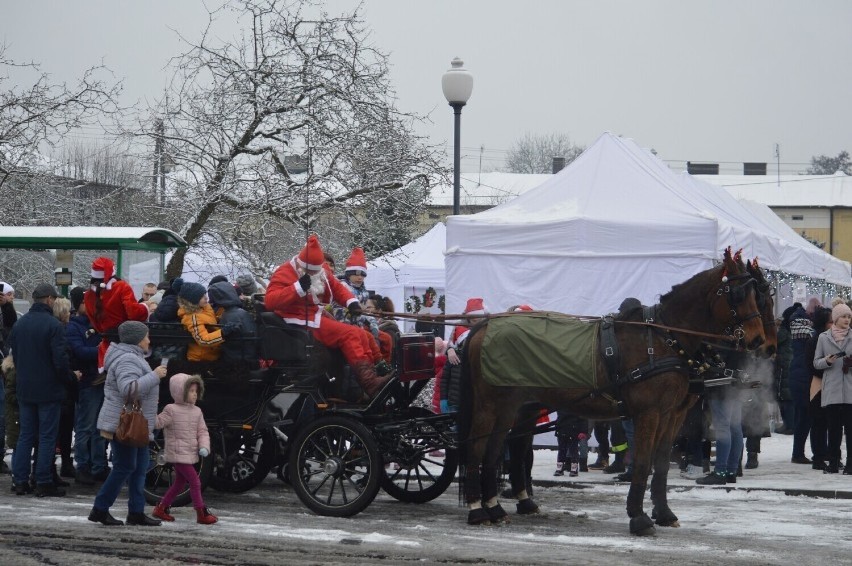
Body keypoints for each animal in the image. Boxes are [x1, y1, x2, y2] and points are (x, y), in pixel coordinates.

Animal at [460, 248, 764, 536]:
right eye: (738, 293)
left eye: (757, 293)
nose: (758, 339)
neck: (665, 339)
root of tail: (485, 325)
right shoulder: (649, 413)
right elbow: (642, 462)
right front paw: (639, 517)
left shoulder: (672, 414)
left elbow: (662, 462)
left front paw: (664, 513)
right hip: (491, 406)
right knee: (477, 449)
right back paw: (478, 510)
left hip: (519, 408)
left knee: (502, 450)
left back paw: (500, 506)